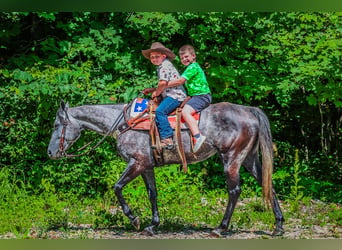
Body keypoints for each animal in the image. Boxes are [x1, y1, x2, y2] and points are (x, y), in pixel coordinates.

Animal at [46, 99, 284, 236]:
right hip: (249, 159)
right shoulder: (146, 166)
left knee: (234, 191)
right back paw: (279, 226)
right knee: (268, 185)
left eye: (57, 125)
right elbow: (152, 194)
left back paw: (220, 228)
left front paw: (134, 220)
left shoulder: (136, 163)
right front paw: (153, 225)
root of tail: (249, 111)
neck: (123, 123)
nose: (50, 152)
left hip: (231, 159)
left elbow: (117, 188)